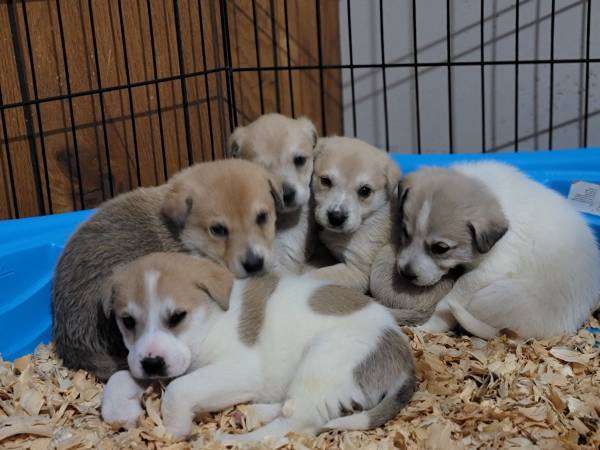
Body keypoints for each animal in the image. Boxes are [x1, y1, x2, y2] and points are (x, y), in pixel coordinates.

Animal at [101, 253, 414, 442]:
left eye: (177, 316)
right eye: (127, 321)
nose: (152, 363)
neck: (212, 320)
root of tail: (403, 356)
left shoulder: (240, 370)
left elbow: (179, 389)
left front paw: (174, 430)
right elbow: (120, 376)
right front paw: (119, 411)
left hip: (323, 363)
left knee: (293, 425)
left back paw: (231, 440)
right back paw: (252, 413)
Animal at [394, 162, 600, 338]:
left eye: (440, 248)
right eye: (404, 232)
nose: (405, 274)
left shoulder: (492, 267)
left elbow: (455, 293)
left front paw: (428, 326)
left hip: (489, 297)